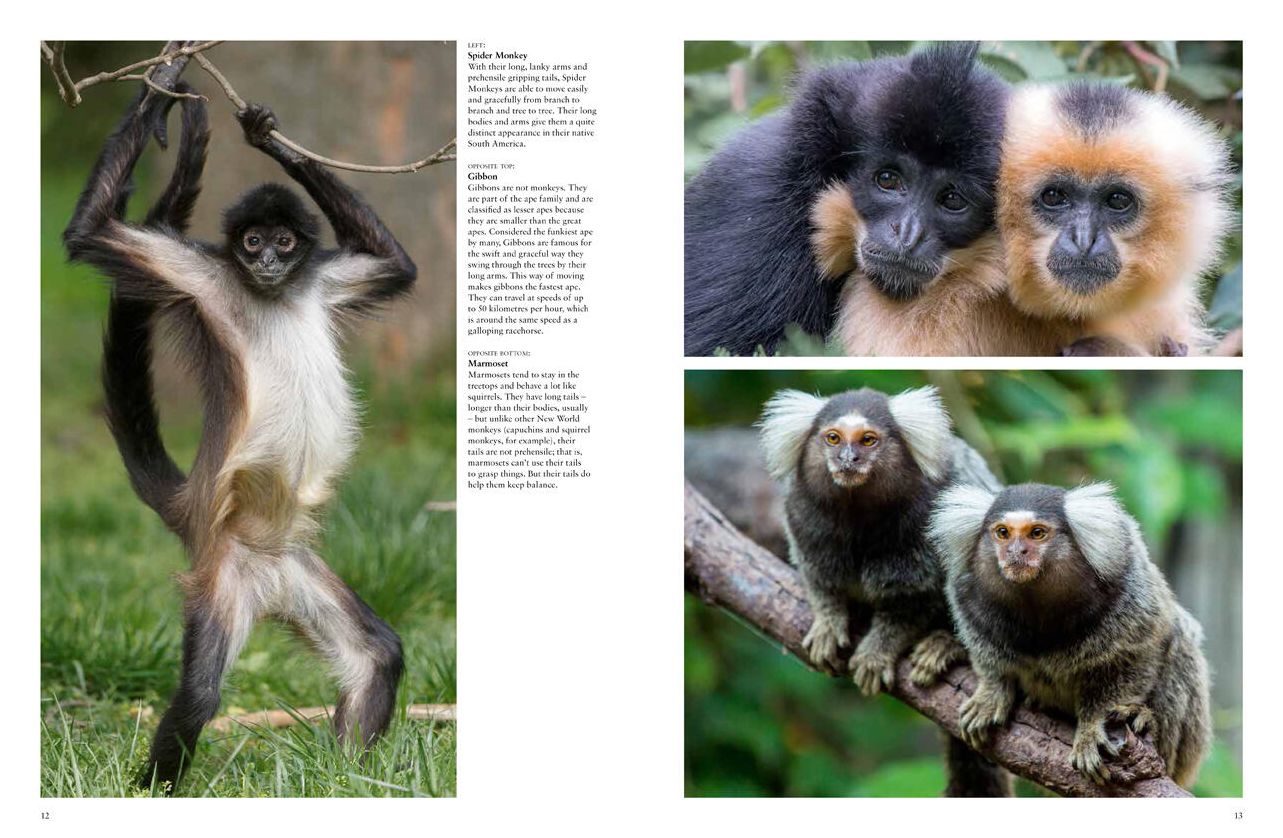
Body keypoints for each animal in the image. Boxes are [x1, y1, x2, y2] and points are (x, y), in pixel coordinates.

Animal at [63, 72, 417, 791]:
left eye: (283, 243)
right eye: (252, 243)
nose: (270, 264)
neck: (276, 295)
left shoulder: (324, 277)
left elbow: (396, 265)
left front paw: (265, 135)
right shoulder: (201, 275)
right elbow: (89, 232)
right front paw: (167, 77)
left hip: (296, 571)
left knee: (378, 655)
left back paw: (345, 782)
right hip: (223, 573)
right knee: (199, 695)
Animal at [759, 385, 1010, 796]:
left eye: (868, 440)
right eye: (833, 438)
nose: (847, 459)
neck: (858, 514)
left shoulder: (926, 526)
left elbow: (913, 600)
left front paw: (877, 651)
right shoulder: (803, 517)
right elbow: (820, 581)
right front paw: (828, 623)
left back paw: (945, 645)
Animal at [927, 482, 1212, 787]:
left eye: (1037, 533)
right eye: (1002, 533)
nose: (1016, 552)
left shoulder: (1130, 590)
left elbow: (1138, 654)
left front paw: (1092, 728)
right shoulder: (967, 595)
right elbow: (986, 652)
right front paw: (992, 692)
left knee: (1181, 641)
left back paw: (1147, 721)